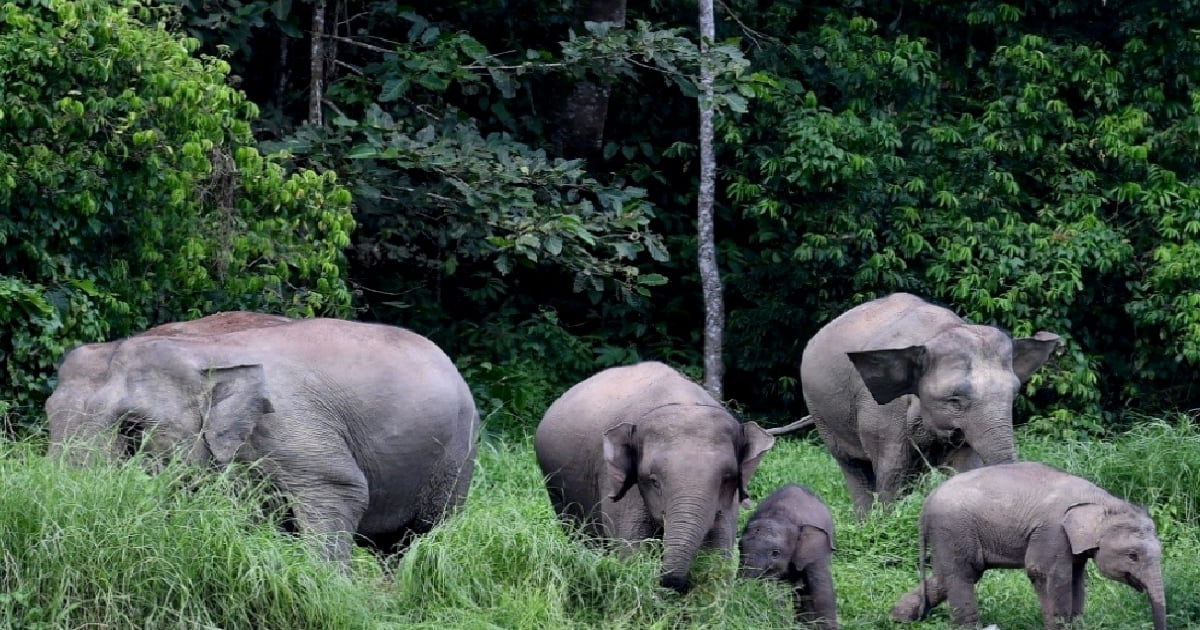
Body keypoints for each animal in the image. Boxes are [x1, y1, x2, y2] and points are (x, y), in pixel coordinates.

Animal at [46, 312, 477, 561]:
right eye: (48, 414)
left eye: (133, 429)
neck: (202, 350)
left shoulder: (293, 426)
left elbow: (341, 489)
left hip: (456, 454)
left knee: (422, 534)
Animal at [801, 292, 1056, 513]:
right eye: (954, 401)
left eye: (1013, 395)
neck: (935, 334)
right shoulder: (881, 410)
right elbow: (892, 468)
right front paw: (887, 521)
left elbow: (964, 464)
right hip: (819, 410)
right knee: (853, 466)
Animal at [892, 458, 1161, 624]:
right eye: (1133, 556)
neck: (1104, 501)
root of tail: (926, 502)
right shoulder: (1052, 532)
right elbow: (1044, 573)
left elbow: (1076, 577)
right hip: (953, 528)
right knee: (962, 575)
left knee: (947, 576)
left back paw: (898, 617)